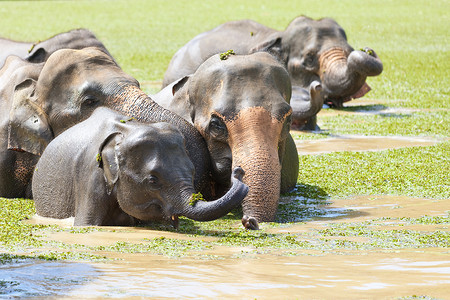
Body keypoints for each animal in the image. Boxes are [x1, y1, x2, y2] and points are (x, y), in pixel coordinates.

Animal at [33, 106, 248, 226]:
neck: (125, 131)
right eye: (152, 180)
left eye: (193, 171)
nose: (238, 171)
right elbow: (86, 224)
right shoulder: (89, 175)